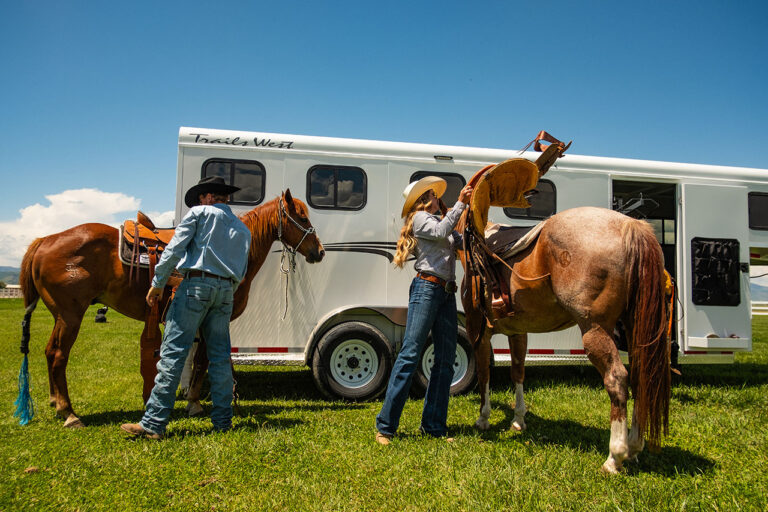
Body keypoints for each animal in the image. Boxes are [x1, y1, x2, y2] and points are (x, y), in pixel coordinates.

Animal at [18, 189, 324, 428]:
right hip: (70, 316)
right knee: (59, 355)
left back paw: (55, 402)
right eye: (302, 217)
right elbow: (202, 361)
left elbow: (201, 361)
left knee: (49, 352)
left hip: (60, 316)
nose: (319, 251)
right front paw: (195, 404)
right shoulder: (212, 318)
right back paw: (69, 413)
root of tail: (45, 240)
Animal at [458, 206, 670, 474]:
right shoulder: (518, 333)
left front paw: (483, 418)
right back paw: (633, 447)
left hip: (595, 330)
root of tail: (629, 226)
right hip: (634, 331)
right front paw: (518, 419)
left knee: (617, 379)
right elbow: (518, 373)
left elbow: (484, 375)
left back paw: (615, 455)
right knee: (641, 377)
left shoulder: (478, 332)